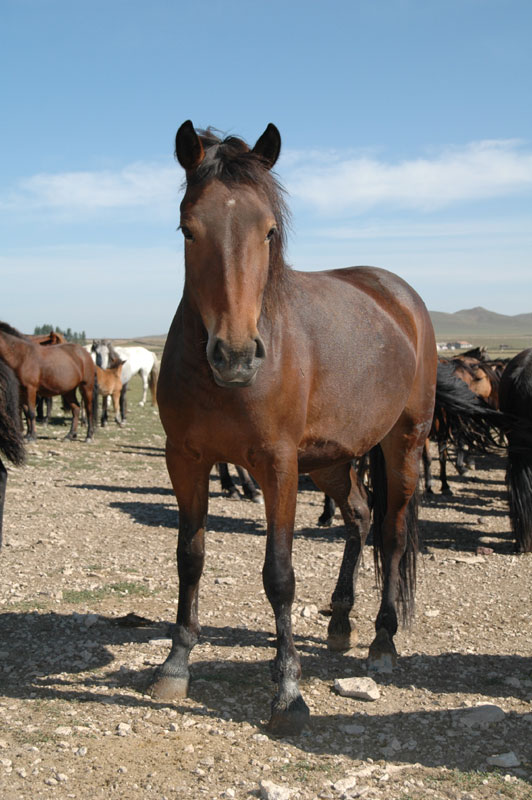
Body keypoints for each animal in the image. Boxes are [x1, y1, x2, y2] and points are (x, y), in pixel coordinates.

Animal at [152, 122, 438, 736]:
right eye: (189, 230)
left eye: (268, 231)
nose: (236, 355)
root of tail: (400, 297)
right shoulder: (185, 459)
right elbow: (190, 557)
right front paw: (176, 663)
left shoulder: (277, 465)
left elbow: (279, 574)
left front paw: (287, 691)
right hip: (330, 461)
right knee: (358, 518)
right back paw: (341, 621)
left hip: (403, 445)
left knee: (391, 534)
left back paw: (381, 641)